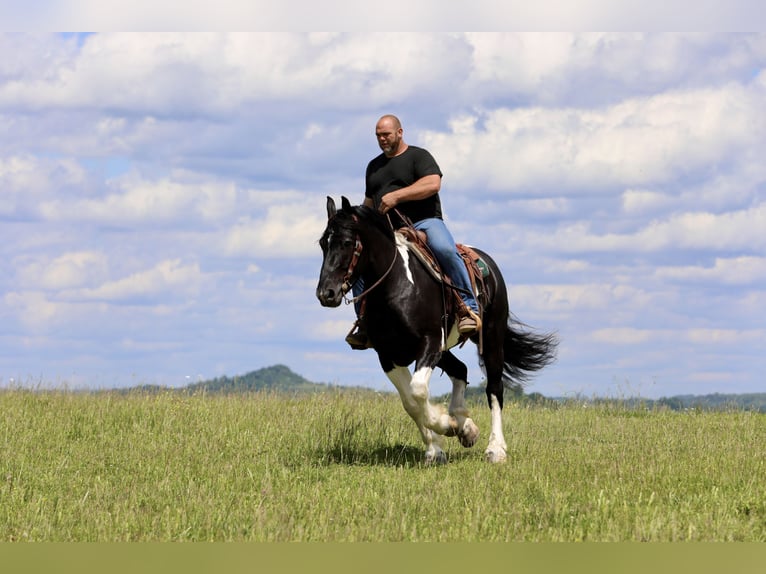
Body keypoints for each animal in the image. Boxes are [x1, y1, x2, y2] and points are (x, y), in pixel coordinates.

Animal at [316, 196, 557, 464]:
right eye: (322, 243)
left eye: (347, 242)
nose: (326, 293)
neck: (397, 286)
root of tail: (488, 264)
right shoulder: (388, 355)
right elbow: (410, 402)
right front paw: (440, 444)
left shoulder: (429, 342)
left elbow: (418, 391)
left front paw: (446, 424)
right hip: (443, 351)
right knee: (460, 370)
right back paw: (465, 425)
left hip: (491, 339)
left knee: (495, 389)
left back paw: (495, 449)